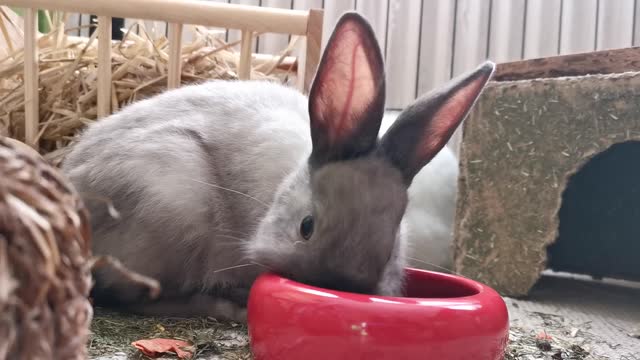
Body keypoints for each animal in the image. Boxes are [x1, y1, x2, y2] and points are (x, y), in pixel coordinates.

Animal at [61, 11, 496, 322]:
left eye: (390, 251)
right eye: (306, 227)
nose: (334, 285)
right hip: (169, 203)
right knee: (130, 298)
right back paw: (226, 307)